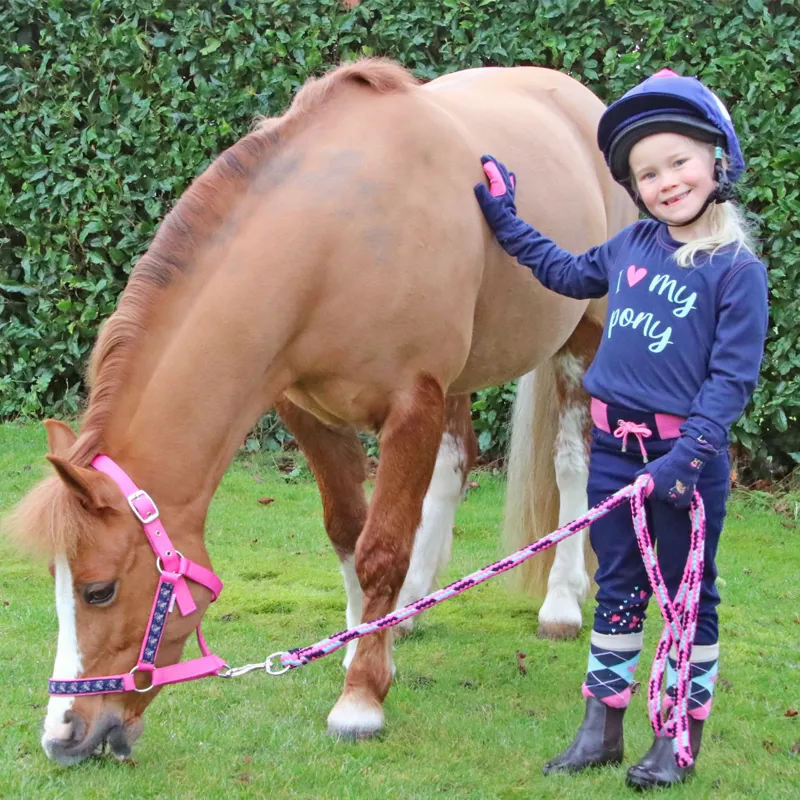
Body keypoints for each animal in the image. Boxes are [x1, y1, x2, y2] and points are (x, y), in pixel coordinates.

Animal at [6, 58, 634, 765]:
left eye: (100, 590)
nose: (62, 736)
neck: (337, 242)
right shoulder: (308, 411)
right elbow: (347, 530)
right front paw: (364, 643)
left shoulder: (410, 406)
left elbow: (380, 548)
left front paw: (360, 699)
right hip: (460, 377)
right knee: (455, 464)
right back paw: (414, 605)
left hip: (583, 338)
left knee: (572, 464)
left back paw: (561, 603)